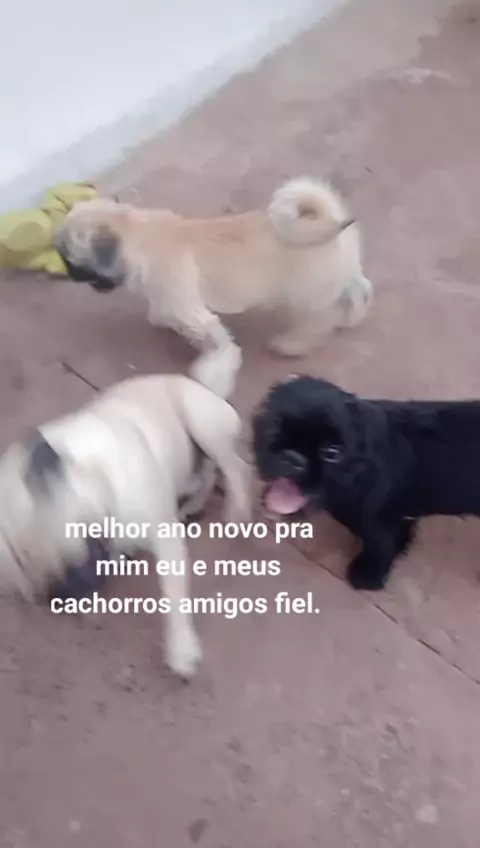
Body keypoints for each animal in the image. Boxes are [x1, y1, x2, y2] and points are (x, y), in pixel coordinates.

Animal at [0, 374, 251, 679]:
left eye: (82, 536)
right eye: (20, 561)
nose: (56, 594)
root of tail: (201, 384)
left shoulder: (164, 542)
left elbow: (174, 595)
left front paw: (182, 651)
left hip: (202, 425)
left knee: (234, 467)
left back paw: (237, 509)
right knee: (208, 474)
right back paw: (192, 505)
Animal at [54, 178, 373, 399]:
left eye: (71, 259)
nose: (67, 272)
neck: (137, 235)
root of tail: (327, 217)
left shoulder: (196, 315)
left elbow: (219, 350)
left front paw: (210, 381)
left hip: (307, 298)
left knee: (316, 322)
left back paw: (292, 345)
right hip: (341, 276)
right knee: (358, 290)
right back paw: (352, 317)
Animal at [252, 374, 480, 590]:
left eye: (332, 452)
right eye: (274, 427)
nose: (293, 458)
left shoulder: (379, 523)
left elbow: (379, 546)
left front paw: (367, 575)